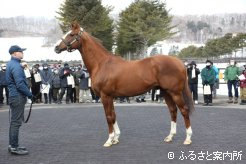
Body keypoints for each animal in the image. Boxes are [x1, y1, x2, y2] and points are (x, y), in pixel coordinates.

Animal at [54, 21, 194, 146]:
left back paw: (188, 138)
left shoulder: (105, 96)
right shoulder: (110, 96)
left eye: (71, 34)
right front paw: (116, 138)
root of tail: (179, 62)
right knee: (173, 111)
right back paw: (170, 137)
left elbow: (108, 116)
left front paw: (109, 140)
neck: (101, 63)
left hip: (175, 93)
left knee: (184, 110)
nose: (56, 48)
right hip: (166, 92)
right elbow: (113, 115)